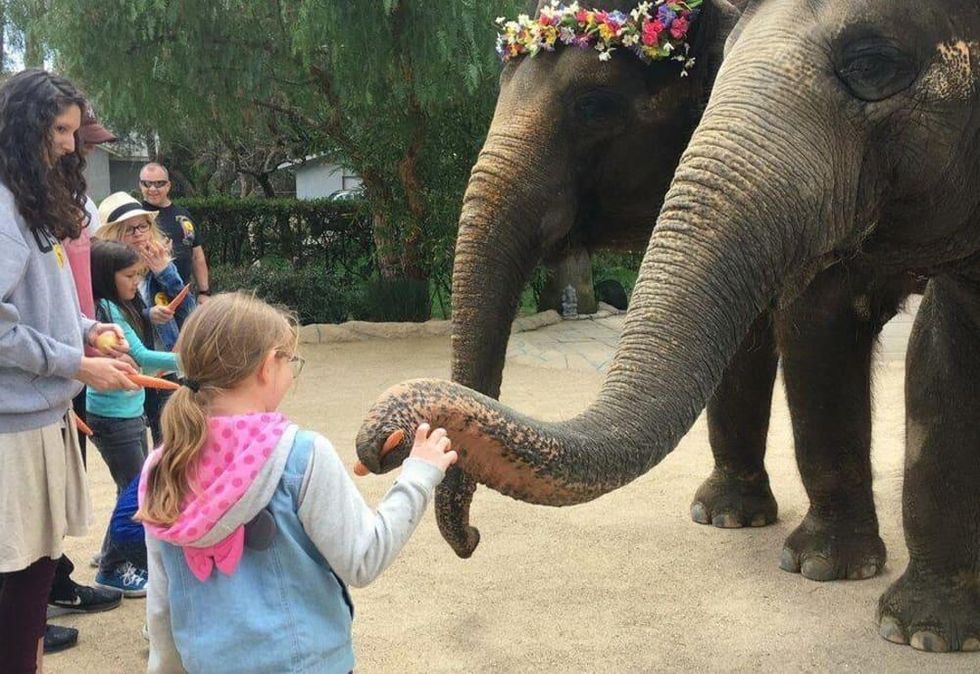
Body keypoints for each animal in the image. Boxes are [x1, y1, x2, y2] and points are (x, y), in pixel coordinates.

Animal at [357, 0, 980, 653]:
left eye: (594, 106)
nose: (472, 542)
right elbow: (761, 341)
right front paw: (731, 520)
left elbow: (844, 334)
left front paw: (863, 596)